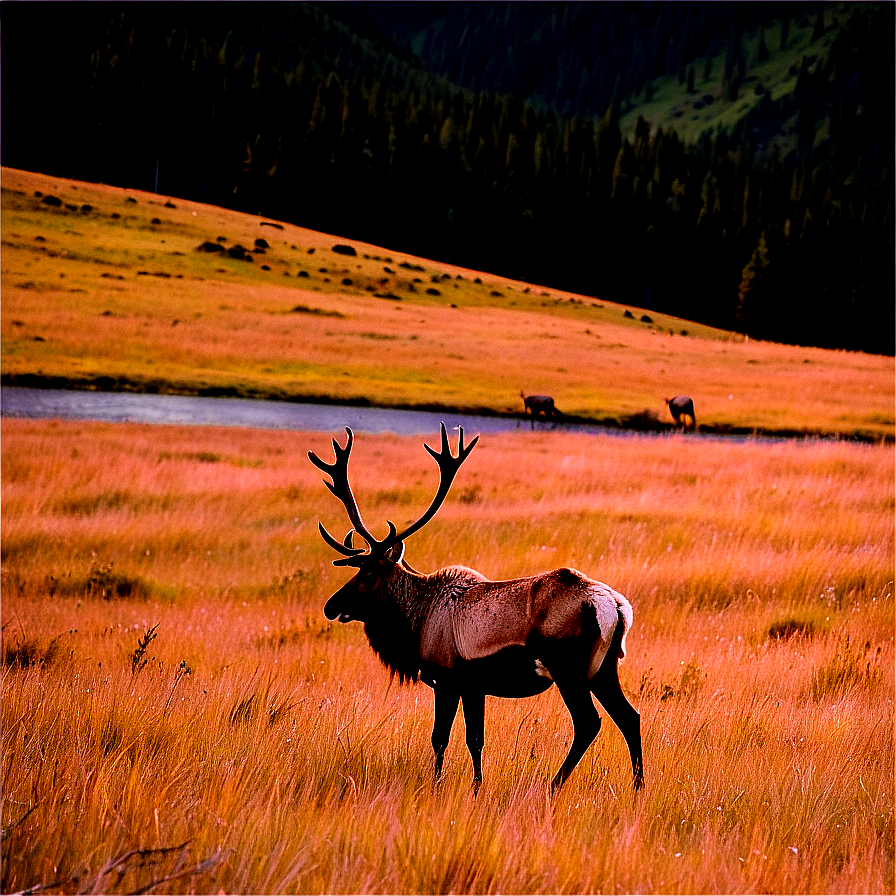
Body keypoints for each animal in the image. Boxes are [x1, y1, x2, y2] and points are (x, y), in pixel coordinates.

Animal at [310, 424, 644, 796]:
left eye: (367, 574)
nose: (331, 606)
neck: (417, 621)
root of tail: (615, 608)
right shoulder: (475, 686)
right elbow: (476, 739)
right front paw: (476, 787)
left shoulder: (448, 679)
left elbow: (443, 738)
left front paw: (442, 786)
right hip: (604, 668)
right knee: (630, 717)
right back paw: (637, 787)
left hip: (567, 668)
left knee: (589, 722)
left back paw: (553, 785)